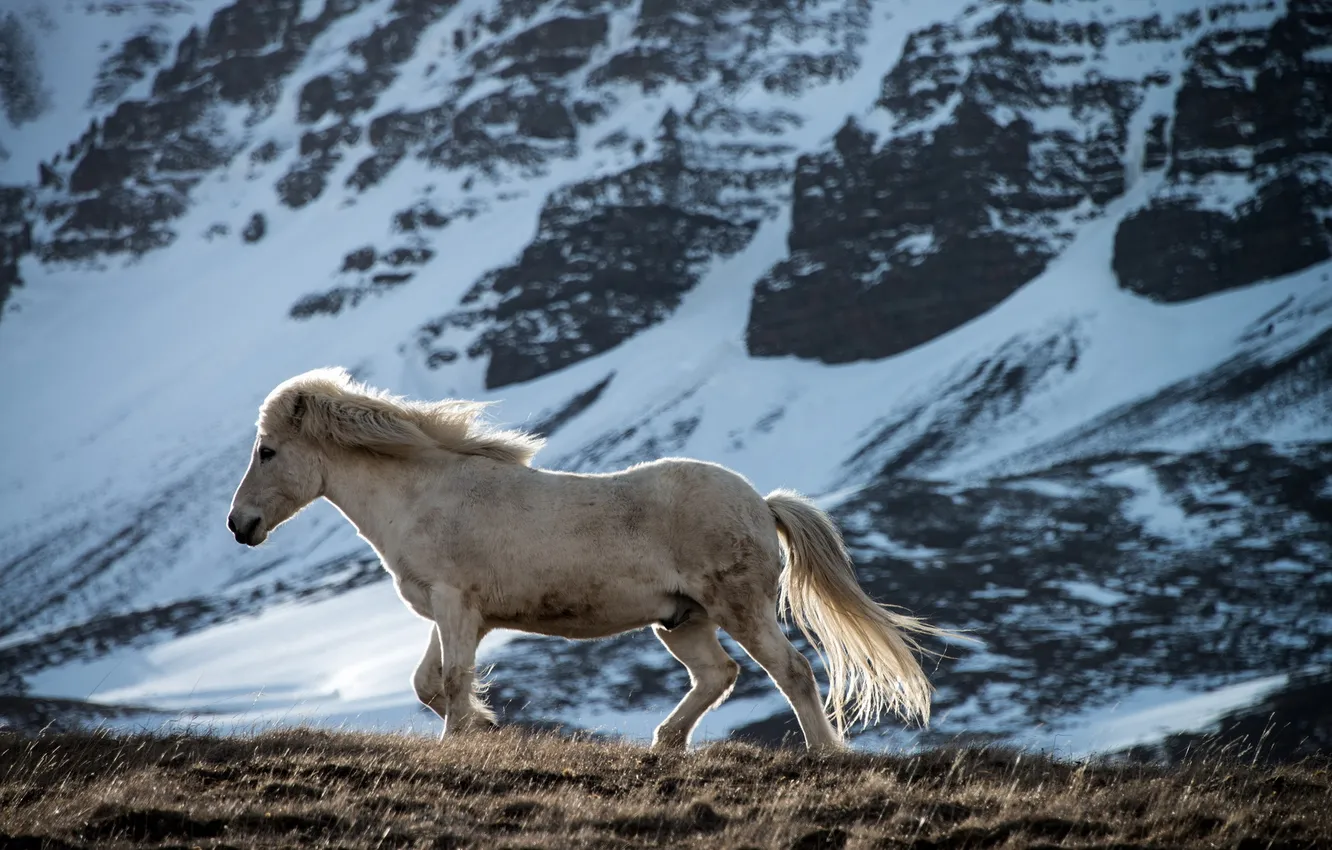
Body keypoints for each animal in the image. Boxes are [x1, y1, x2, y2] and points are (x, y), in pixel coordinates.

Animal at [226, 367, 965, 750]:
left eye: (268, 450)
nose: (241, 526)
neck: (425, 492)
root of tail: (762, 502)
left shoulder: (456, 605)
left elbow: (453, 682)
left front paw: (462, 744)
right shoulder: (453, 613)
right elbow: (430, 684)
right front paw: (482, 732)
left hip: (739, 608)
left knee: (791, 671)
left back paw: (820, 754)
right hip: (682, 619)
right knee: (718, 674)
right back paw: (665, 745)